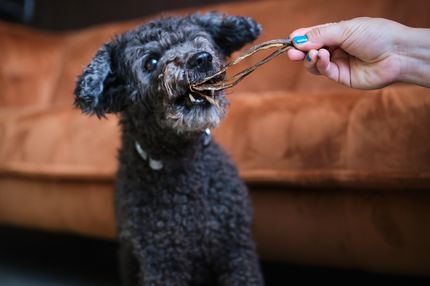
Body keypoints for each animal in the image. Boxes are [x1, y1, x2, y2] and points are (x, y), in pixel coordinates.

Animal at [74, 12, 262, 284]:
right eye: (151, 61)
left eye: (198, 38)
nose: (201, 58)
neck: (180, 157)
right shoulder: (162, 259)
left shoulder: (235, 247)